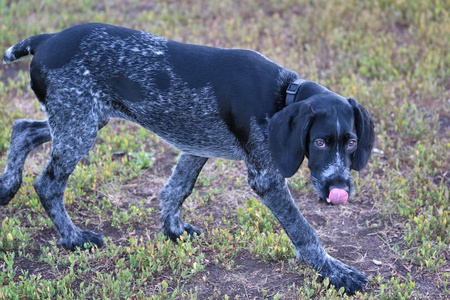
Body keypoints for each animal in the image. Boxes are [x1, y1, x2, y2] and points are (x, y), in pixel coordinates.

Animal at [1, 24, 374, 296]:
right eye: (320, 142)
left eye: (352, 142)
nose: (340, 187)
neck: (283, 96)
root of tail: (47, 38)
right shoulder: (266, 179)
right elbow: (303, 231)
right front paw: (335, 272)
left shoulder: (195, 147)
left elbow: (176, 190)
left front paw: (173, 230)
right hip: (79, 126)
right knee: (47, 184)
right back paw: (72, 238)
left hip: (81, 120)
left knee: (23, 128)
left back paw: (7, 186)